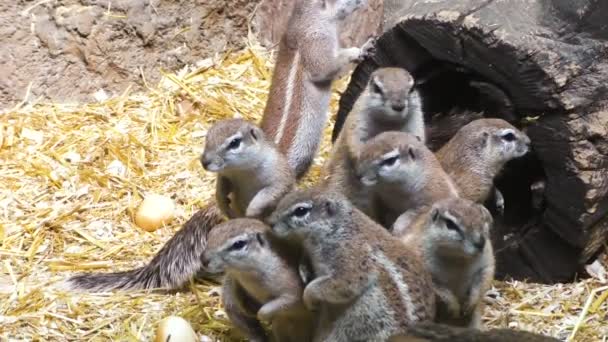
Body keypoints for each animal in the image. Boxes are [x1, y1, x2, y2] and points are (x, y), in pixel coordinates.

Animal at [268, 188, 434, 340]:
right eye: (287, 197)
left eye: (300, 210)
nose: (270, 222)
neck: (340, 227)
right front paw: (303, 268)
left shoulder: (352, 260)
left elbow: (342, 283)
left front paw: (308, 296)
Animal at [400, 198, 494, 328]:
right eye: (450, 224)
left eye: (483, 218)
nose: (481, 243)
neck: (458, 259)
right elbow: (440, 290)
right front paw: (454, 308)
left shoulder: (486, 264)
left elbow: (482, 282)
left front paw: (470, 304)